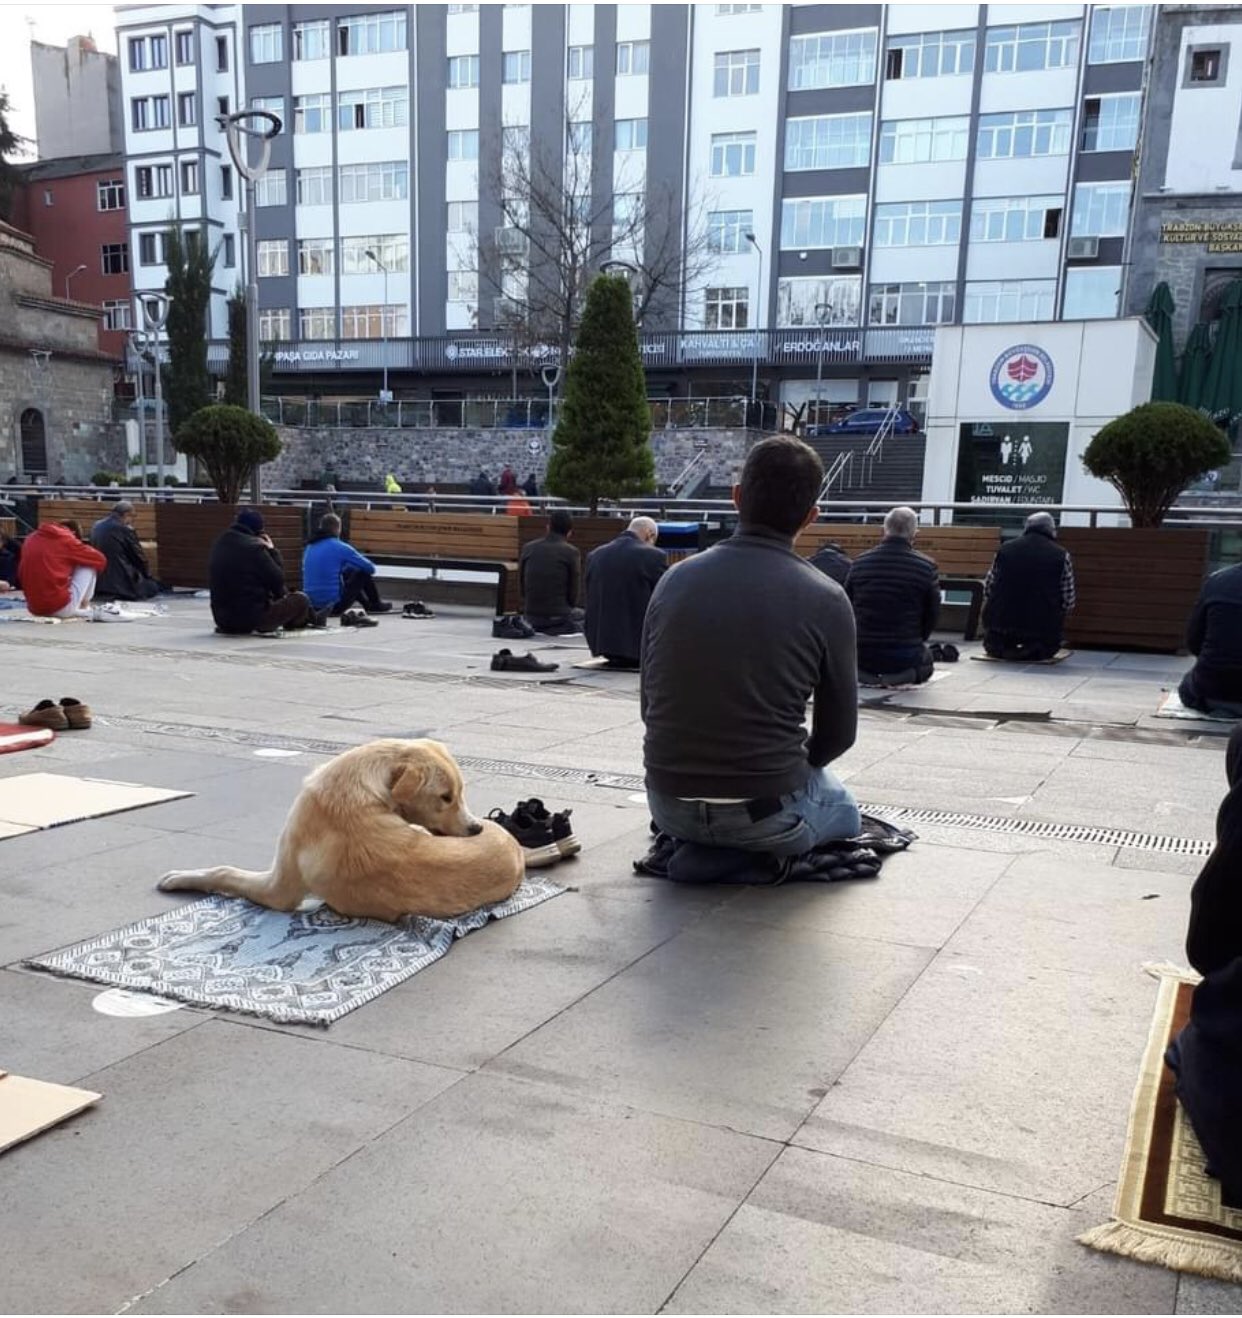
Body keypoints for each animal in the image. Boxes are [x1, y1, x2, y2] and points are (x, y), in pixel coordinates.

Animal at [156, 743, 524, 917]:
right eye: (447, 796)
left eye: (457, 793)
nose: (476, 828)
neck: (363, 788)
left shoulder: (279, 888)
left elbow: (224, 871)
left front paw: (180, 877)